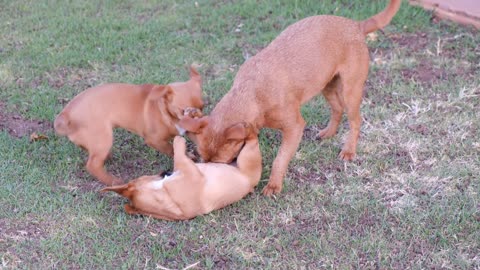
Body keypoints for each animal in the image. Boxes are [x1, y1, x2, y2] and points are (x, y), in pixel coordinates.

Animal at [54, 66, 204, 186]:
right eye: (184, 111)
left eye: (203, 106)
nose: (200, 120)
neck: (164, 111)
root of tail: (66, 115)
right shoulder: (154, 140)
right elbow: (170, 149)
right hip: (103, 138)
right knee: (92, 165)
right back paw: (113, 181)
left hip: (95, 142)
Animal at [101, 131, 262, 221]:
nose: (165, 172)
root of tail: (251, 184)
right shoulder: (190, 171)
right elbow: (178, 152)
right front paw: (180, 139)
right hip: (247, 155)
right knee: (251, 137)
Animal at [179, 1, 402, 197]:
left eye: (224, 163)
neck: (252, 93)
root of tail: (356, 25)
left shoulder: (294, 127)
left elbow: (280, 160)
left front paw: (273, 186)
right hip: (327, 85)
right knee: (337, 109)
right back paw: (328, 132)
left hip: (351, 90)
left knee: (355, 120)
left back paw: (348, 151)